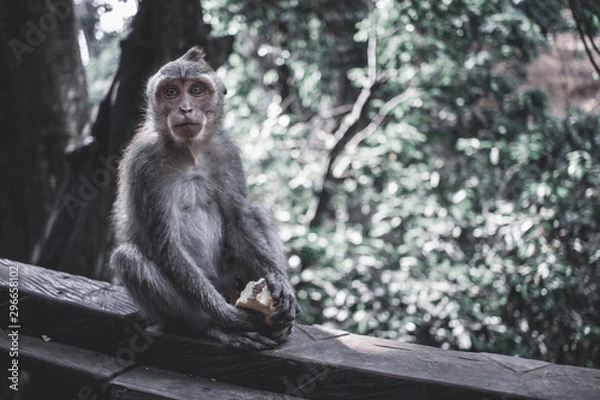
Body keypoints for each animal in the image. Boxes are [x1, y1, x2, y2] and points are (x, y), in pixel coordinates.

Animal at [110, 47, 298, 350]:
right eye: (171, 92)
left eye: (196, 90)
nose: (185, 109)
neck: (191, 152)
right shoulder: (144, 163)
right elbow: (167, 245)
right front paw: (230, 318)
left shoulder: (227, 152)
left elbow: (238, 219)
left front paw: (278, 280)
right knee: (128, 258)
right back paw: (214, 327)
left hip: (228, 277)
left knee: (257, 212)